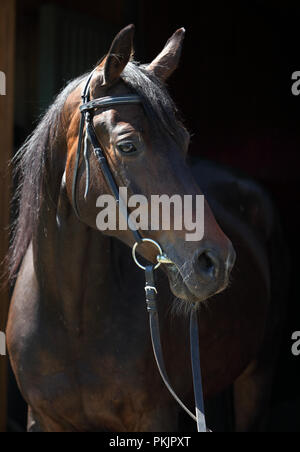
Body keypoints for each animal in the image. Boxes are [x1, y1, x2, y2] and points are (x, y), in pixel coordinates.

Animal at [6, 26, 286, 432]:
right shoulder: (41, 419)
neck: (71, 319)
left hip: (258, 374)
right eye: (127, 145)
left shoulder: (156, 416)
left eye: (184, 141)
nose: (216, 262)